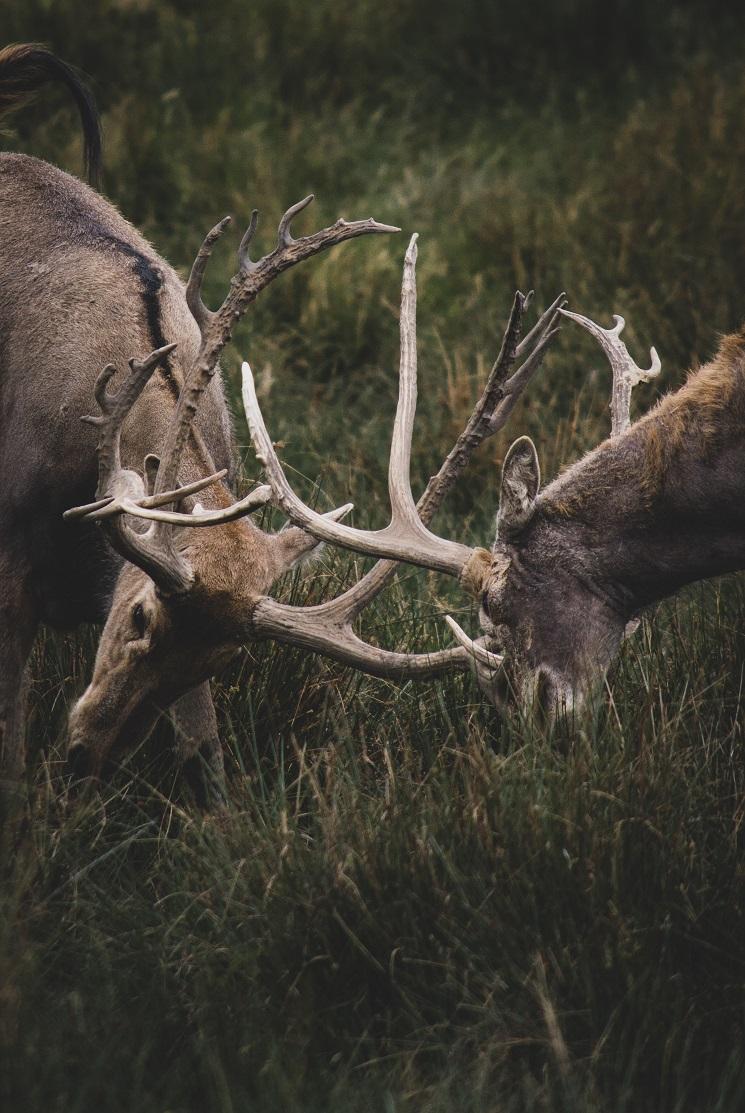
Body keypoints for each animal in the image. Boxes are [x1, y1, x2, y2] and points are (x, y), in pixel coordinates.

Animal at [0, 39, 556, 801]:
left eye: (216, 662)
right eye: (140, 615)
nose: (86, 757)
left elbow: (203, 750)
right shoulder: (11, 550)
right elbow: (11, 740)